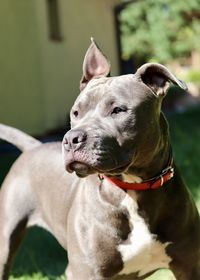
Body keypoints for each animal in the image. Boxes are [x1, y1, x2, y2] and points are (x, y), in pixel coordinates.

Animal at [0, 40, 200, 280]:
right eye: (75, 112)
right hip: (6, 238)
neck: (133, 188)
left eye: (118, 110)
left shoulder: (188, 266)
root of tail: (33, 146)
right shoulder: (85, 271)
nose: (70, 139)